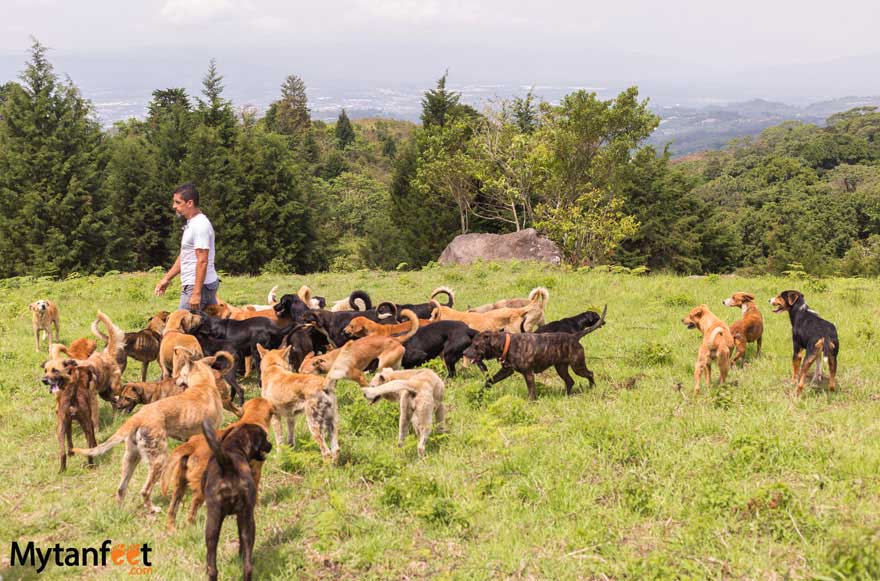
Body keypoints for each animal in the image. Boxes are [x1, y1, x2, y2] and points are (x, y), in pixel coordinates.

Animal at [72, 352, 232, 510]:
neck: (203, 384)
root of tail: (138, 417)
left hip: (131, 458)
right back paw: (152, 510)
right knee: (145, 491)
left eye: (181, 373)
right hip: (159, 459)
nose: (176, 381)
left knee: (121, 489)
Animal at [162, 396, 276, 528]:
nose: (271, 445)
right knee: (192, 511)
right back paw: (192, 525)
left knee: (172, 509)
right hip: (200, 489)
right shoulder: (255, 472)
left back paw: (172, 528)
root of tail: (191, 445)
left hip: (179, 486)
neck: (252, 418)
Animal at [203, 420, 272, 580]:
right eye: (264, 437)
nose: (271, 444)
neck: (234, 446)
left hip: (221, 520)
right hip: (242, 522)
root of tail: (229, 466)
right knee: (247, 566)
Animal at [460, 304, 604, 398]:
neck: (507, 343)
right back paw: (566, 395)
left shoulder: (528, 374)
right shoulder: (506, 371)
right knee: (570, 381)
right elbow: (489, 381)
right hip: (561, 367)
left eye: (476, 345)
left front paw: (531, 402)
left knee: (590, 374)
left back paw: (592, 387)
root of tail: (574, 336)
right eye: (471, 343)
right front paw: (479, 394)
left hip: (577, 366)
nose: (464, 353)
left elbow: (531, 391)